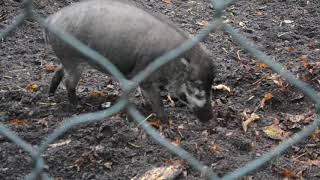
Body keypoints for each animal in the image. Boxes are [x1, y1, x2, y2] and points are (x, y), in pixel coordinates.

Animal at [45, 0, 215, 122]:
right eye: (196, 86)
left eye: (211, 83)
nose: (209, 118)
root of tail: (51, 19)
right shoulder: (144, 77)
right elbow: (157, 100)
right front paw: (165, 121)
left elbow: (145, 96)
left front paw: (147, 108)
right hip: (72, 60)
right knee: (68, 82)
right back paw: (76, 105)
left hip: (67, 60)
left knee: (58, 72)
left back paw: (51, 95)